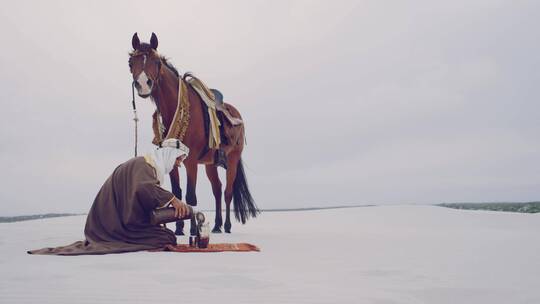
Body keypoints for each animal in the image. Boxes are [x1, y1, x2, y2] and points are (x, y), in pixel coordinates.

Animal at [129, 32, 260, 234]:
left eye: (156, 61)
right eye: (131, 62)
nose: (143, 84)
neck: (178, 108)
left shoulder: (190, 161)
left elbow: (191, 195)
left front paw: (192, 230)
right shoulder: (172, 161)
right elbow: (177, 192)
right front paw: (179, 228)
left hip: (233, 159)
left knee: (227, 192)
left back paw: (227, 225)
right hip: (210, 164)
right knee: (217, 189)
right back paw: (216, 225)